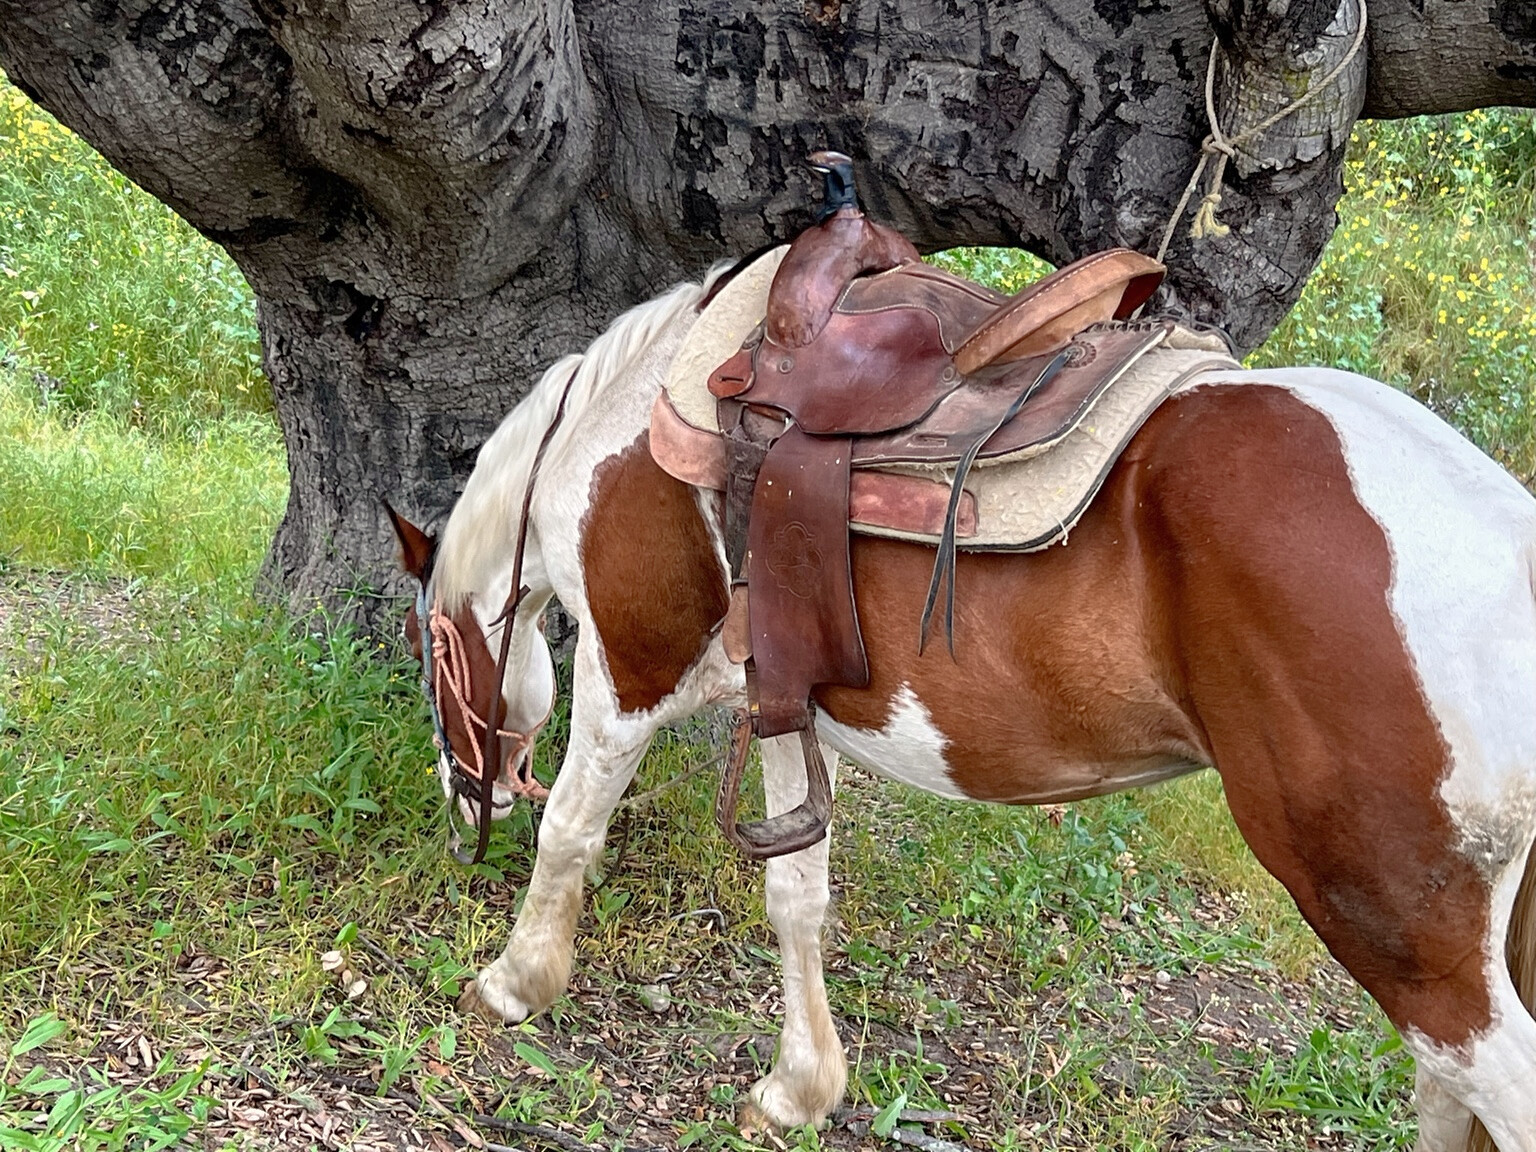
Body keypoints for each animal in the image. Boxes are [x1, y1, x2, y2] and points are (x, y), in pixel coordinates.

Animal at [386, 264, 1536, 1152]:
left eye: (425, 658)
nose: (462, 804)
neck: (625, 421)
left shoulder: (629, 673)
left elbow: (572, 831)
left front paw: (515, 982)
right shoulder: (783, 702)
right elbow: (796, 896)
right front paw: (799, 1089)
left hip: (1393, 921)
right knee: (1448, 1098)